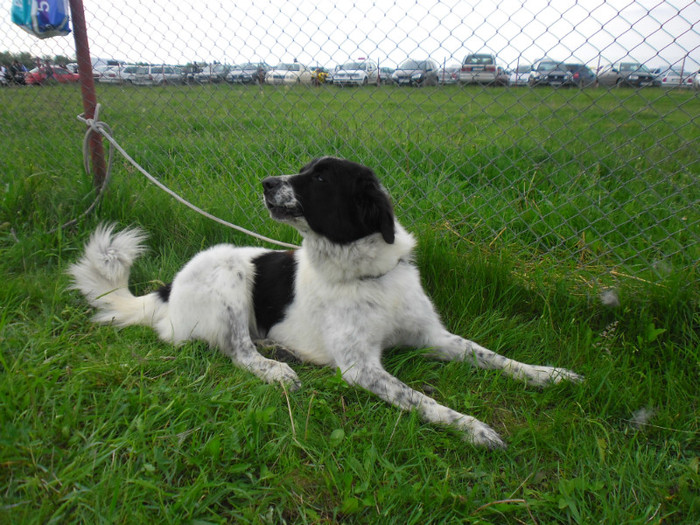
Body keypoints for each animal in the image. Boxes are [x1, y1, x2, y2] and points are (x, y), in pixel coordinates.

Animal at [68, 156, 584, 446]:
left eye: (319, 179)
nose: (264, 181)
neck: (365, 274)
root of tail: (167, 289)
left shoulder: (433, 336)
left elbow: (492, 356)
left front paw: (550, 375)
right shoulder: (360, 367)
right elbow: (423, 399)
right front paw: (472, 428)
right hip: (230, 278)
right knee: (237, 352)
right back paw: (276, 367)